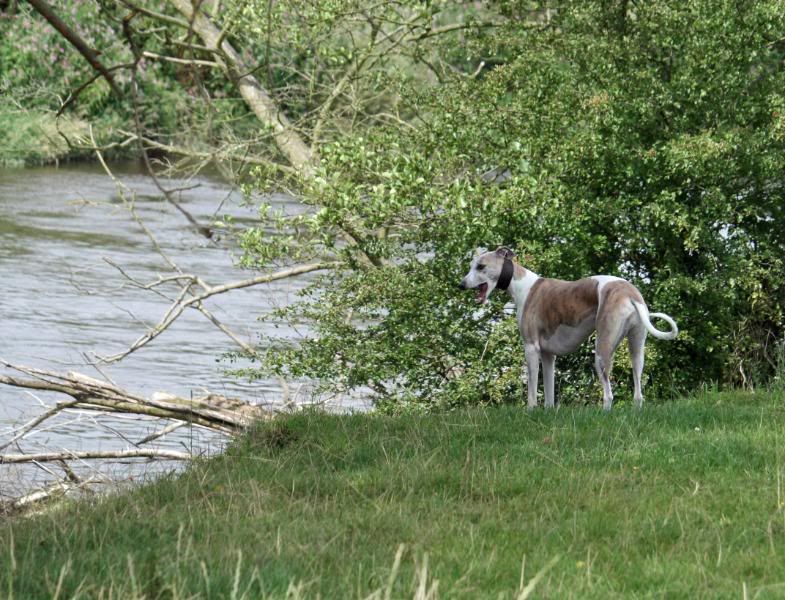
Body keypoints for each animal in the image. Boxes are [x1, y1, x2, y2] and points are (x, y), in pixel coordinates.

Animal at [456, 246, 676, 410]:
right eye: (471, 266)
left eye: (481, 266)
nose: (461, 285)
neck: (522, 285)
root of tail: (630, 292)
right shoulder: (547, 355)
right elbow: (549, 391)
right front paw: (548, 411)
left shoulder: (531, 348)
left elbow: (532, 389)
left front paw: (530, 411)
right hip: (637, 347)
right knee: (638, 389)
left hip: (602, 349)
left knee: (608, 394)